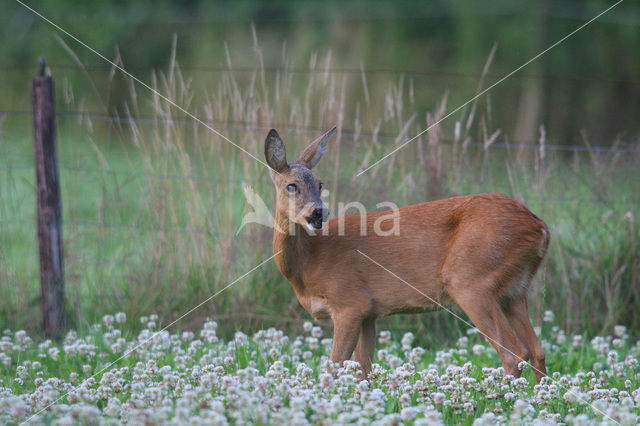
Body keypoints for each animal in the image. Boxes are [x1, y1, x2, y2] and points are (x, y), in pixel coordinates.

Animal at [264, 126, 552, 382]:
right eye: (291, 185)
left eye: (319, 183)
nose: (318, 212)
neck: (308, 263)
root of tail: (540, 227)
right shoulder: (369, 313)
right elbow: (364, 372)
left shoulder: (349, 302)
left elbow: (333, 368)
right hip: (515, 290)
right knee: (537, 351)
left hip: (472, 281)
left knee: (514, 354)